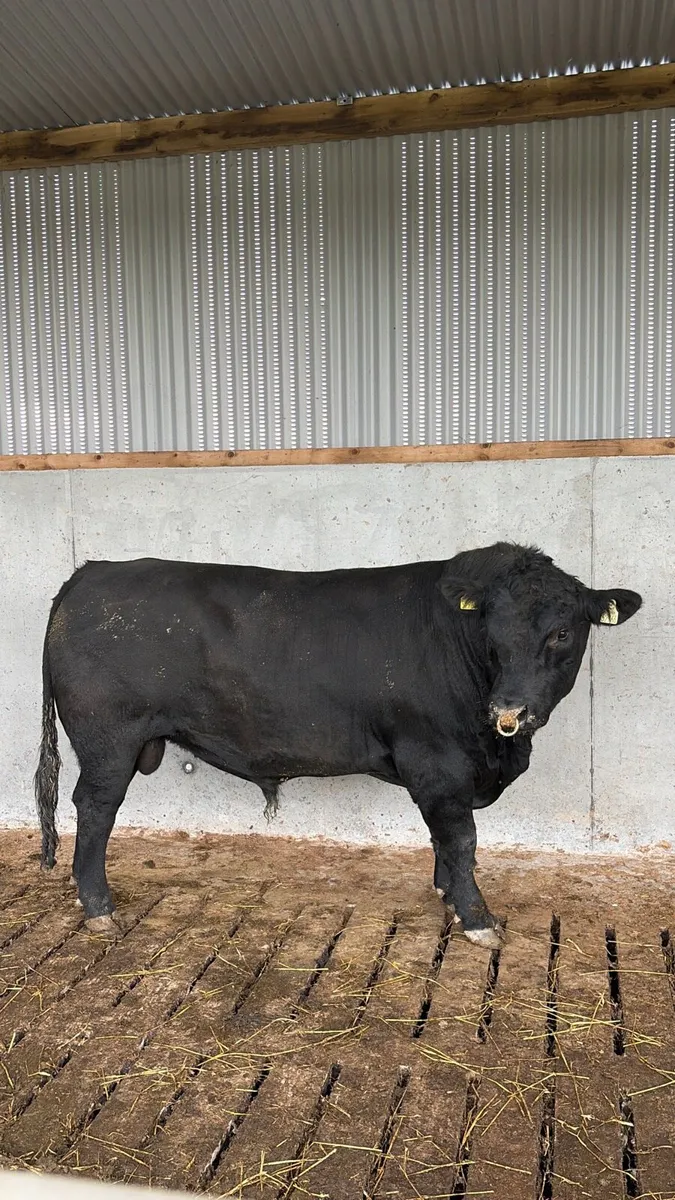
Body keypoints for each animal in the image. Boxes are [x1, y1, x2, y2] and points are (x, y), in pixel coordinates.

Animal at [35, 542, 641, 946]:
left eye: (562, 632)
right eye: (493, 634)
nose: (508, 710)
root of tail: (92, 572)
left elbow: (444, 842)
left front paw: (447, 895)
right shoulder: (437, 763)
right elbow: (461, 839)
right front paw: (477, 918)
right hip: (108, 741)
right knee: (95, 808)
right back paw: (98, 906)